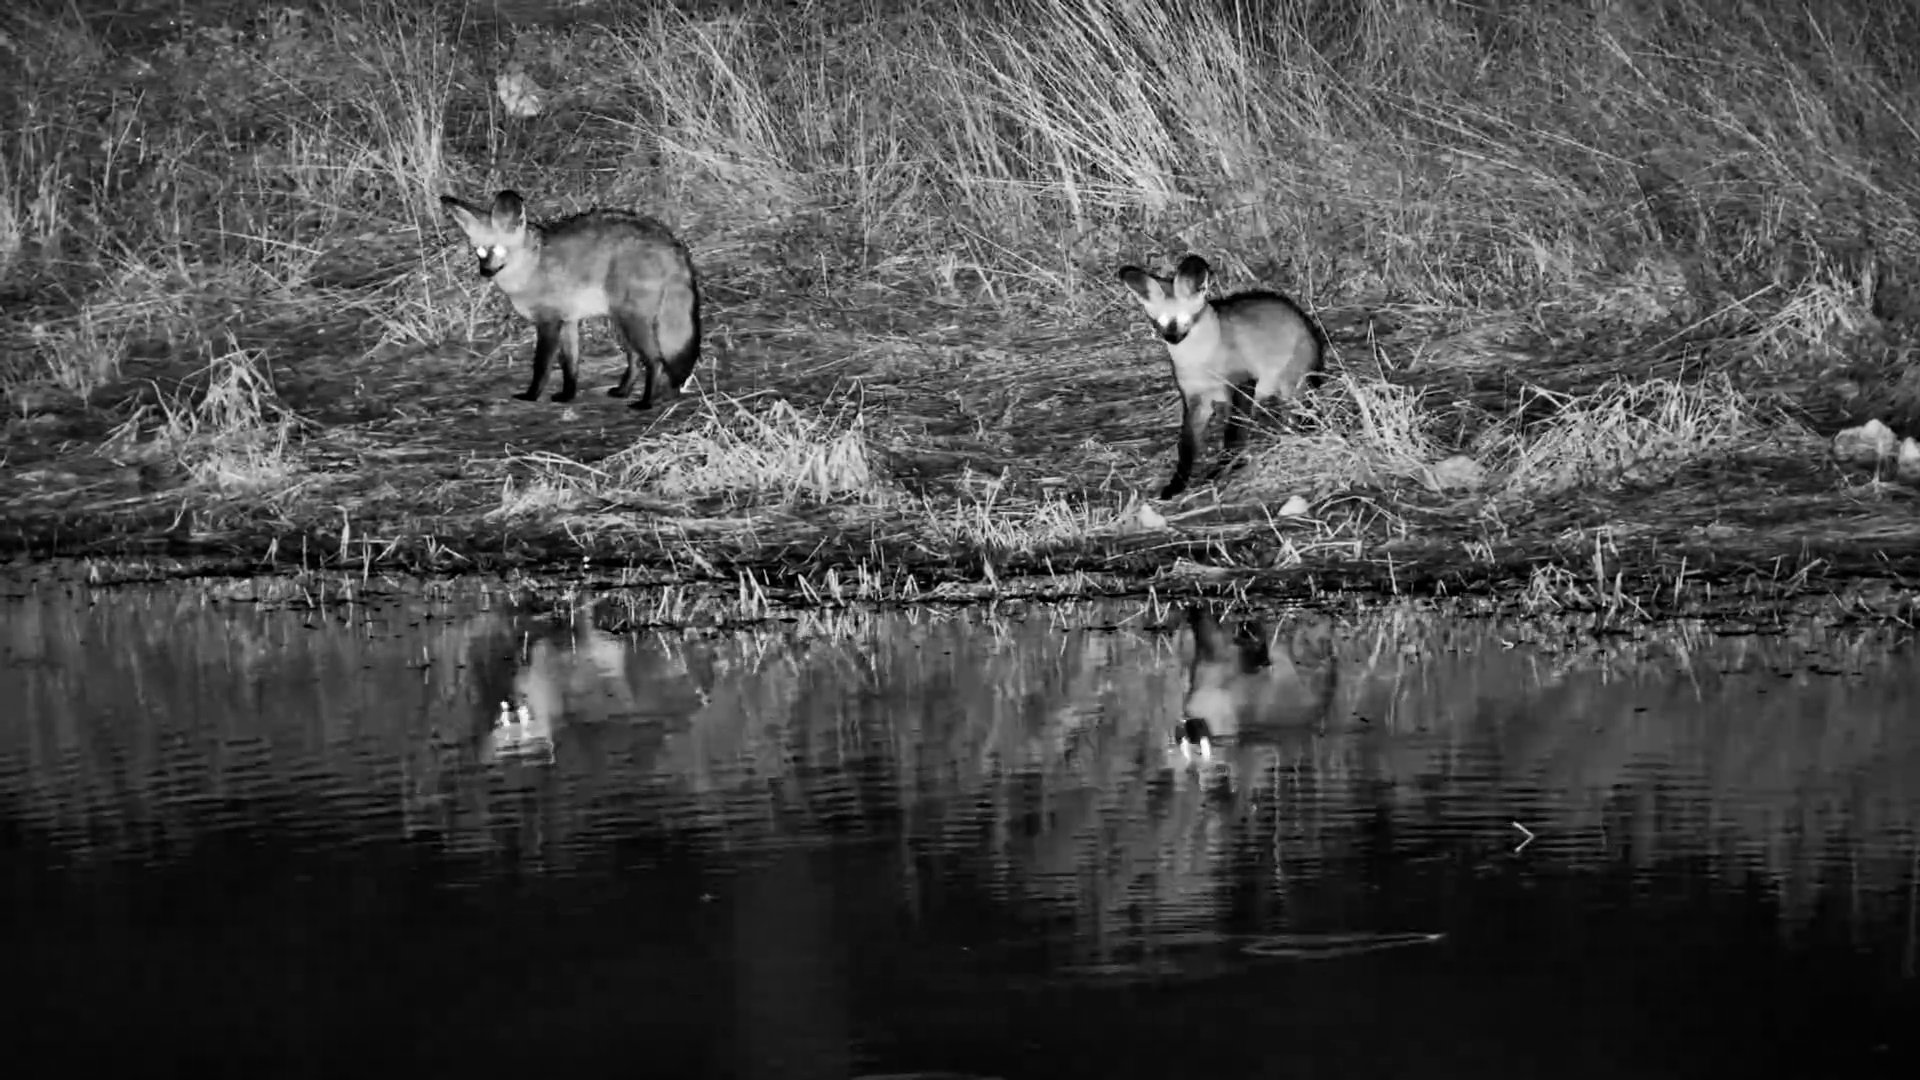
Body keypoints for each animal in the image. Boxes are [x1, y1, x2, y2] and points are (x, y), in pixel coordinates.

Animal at [439, 189, 702, 409]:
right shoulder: (568, 322)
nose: (484, 272)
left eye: (499, 250)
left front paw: (532, 395)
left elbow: (542, 366)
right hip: (620, 325)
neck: (532, 267)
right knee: (635, 359)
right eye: (479, 252)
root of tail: (671, 242)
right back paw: (624, 391)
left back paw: (646, 402)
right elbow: (570, 367)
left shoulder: (548, 323)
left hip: (632, 322)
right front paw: (568, 396)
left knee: (655, 361)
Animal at [1118, 254, 1326, 499]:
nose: (1171, 338)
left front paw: (1225, 467)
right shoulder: (1195, 400)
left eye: (1183, 319)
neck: (1201, 361)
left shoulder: (1242, 384)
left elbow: (1233, 433)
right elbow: (1187, 447)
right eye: (1158, 322)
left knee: (1296, 413)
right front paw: (1177, 484)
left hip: (1288, 387)